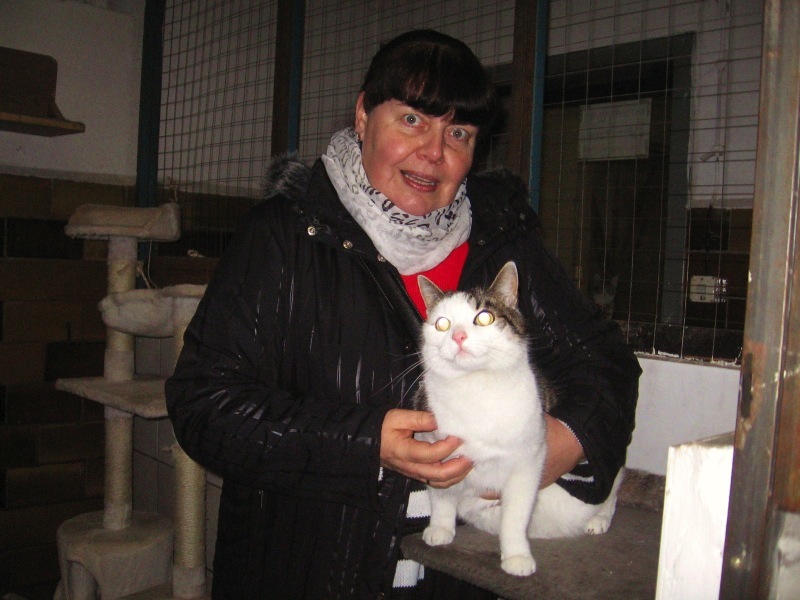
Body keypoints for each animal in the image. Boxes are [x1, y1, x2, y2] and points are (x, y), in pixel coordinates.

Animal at [415, 261, 621, 577]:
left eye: (484, 318)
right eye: (442, 324)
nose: (458, 336)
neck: (475, 388)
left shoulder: (527, 464)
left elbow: (514, 516)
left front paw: (516, 556)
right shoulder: (435, 453)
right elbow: (441, 496)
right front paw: (440, 527)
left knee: (612, 492)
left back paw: (597, 520)